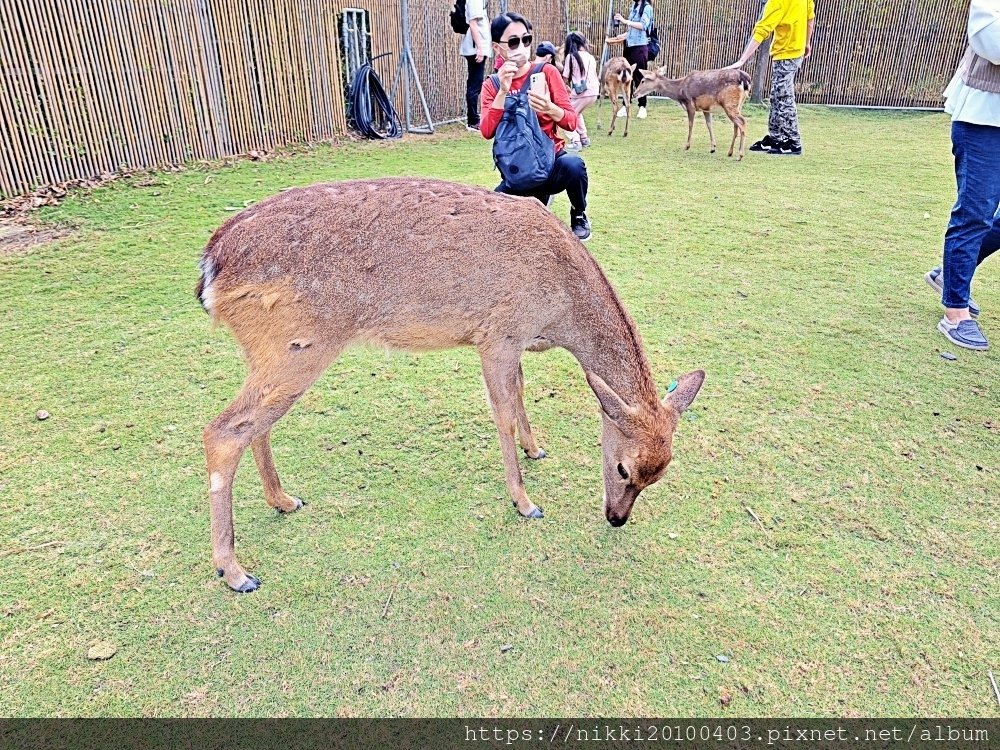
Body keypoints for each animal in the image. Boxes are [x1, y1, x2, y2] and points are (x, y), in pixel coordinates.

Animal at [195, 179, 708, 596]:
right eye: (623, 469)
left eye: (659, 474)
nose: (616, 518)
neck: (558, 315)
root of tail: (210, 267)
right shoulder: (498, 335)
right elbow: (502, 414)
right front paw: (525, 503)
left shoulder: (515, 344)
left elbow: (520, 393)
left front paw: (536, 449)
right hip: (299, 346)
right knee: (223, 430)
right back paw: (236, 572)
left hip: (270, 353)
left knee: (254, 425)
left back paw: (283, 501)